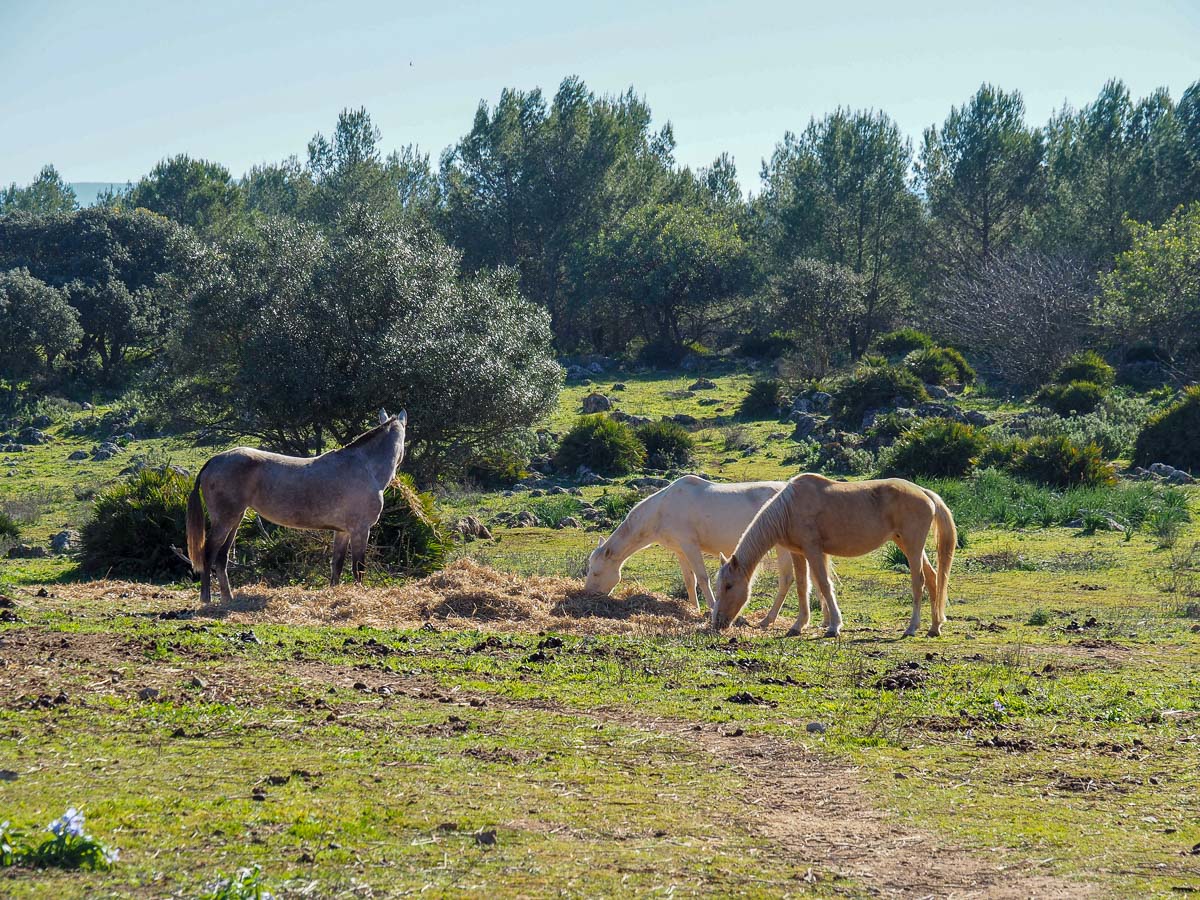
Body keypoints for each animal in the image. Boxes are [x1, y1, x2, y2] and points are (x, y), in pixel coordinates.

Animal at [185, 409, 407, 603]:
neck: (365, 467)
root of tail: (214, 461)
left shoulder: (343, 531)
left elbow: (337, 564)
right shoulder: (360, 530)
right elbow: (358, 567)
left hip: (235, 520)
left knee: (221, 558)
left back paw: (227, 597)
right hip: (225, 520)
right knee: (209, 553)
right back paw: (206, 598)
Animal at [584, 475, 822, 628]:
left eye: (596, 573)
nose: (588, 595)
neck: (661, 510)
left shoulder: (690, 545)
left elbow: (702, 578)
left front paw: (711, 607)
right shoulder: (680, 550)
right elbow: (690, 580)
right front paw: (693, 608)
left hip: (783, 548)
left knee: (787, 579)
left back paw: (769, 619)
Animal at [712, 473, 956, 638]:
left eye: (729, 586)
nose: (717, 623)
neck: (788, 509)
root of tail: (925, 493)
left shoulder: (813, 550)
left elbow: (824, 584)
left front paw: (834, 626)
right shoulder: (798, 553)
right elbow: (803, 586)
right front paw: (798, 625)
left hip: (913, 547)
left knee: (919, 581)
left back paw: (912, 627)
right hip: (907, 545)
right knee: (933, 579)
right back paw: (935, 627)